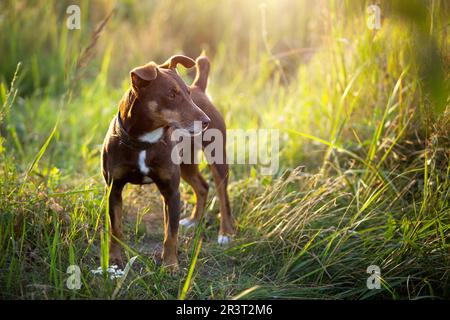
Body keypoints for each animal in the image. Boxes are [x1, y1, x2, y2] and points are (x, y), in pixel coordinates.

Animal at [101, 54, 236, 268]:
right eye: (172, 95)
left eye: (187, 93)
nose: (205, 121)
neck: (144, 141)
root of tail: (200, 87)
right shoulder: (113, 189)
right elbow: (116, 229)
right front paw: (114, 260)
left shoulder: (171, 191)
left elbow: (171, 234)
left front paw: (170, 265)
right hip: (186, 163)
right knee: (202, 186)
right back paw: (193, 220)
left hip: (217, 158)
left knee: (223, 196)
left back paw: (226, 233)